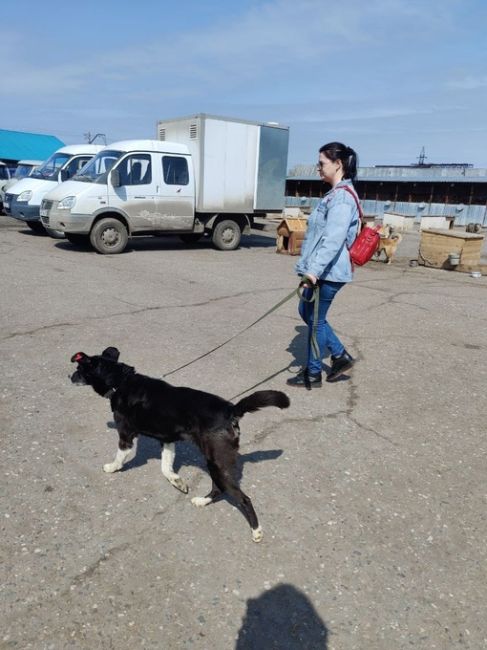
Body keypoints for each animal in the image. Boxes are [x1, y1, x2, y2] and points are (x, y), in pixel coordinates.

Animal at [69, 346, 290, 540]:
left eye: (78, 369)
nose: (69, 377)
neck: (120, 381)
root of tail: (231, 409)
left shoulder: (126, 435)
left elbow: (120, 456)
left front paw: (112, 467)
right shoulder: (167, 440)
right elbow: (165, 468)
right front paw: (178, 482)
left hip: (217, 462)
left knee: (243, 498)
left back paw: (256, 531)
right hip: (217, 463)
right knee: (218, 488)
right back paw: (202, 501)